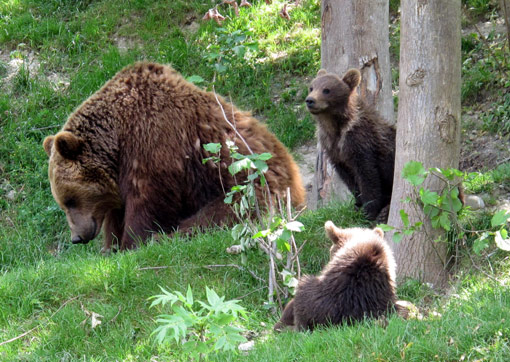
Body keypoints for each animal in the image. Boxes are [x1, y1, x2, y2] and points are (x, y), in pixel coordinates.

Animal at [42, 60, 302, 250]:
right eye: (63, 202)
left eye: (70, 199)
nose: (77, 237)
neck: (117, 138)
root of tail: (293, 168)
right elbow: (116, 213)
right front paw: (111, 246)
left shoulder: (155, 143)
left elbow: (148, 202)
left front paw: (132, 242)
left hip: (252, 185)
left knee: (220, 214)